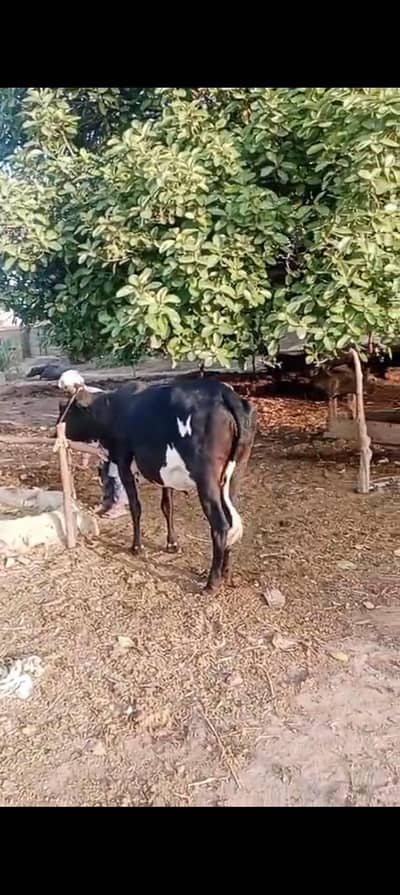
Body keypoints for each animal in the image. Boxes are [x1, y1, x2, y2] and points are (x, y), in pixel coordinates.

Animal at [56, 372, 257, 594]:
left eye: (67, 408)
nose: (56, 428)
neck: (112, 409)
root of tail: (225, 393)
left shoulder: (124, 462)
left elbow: (136, 506)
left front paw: (136, 547)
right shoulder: (164, 472)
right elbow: (167, 506)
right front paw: (172, 544)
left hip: (207, 479)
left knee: (221, 525)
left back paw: (212, 583)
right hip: (234, 476)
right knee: (231, 521)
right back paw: (226, 573)